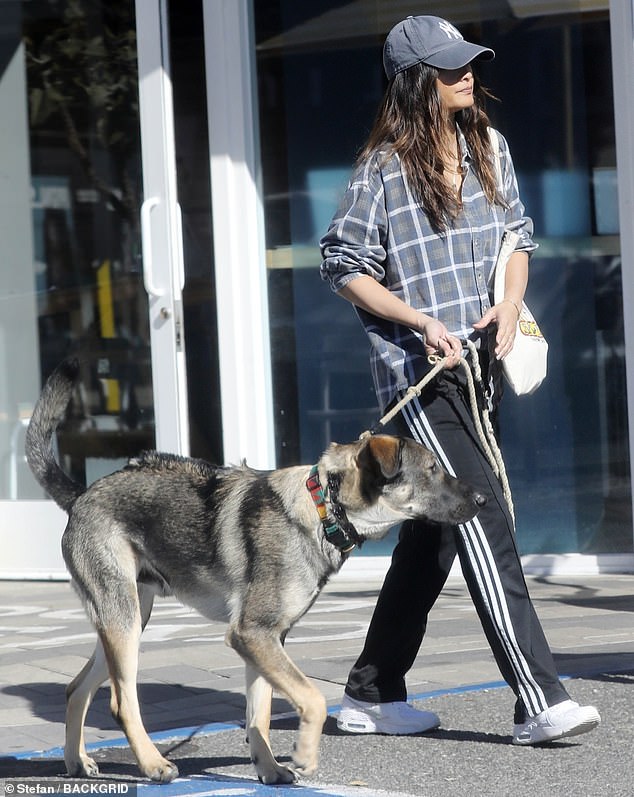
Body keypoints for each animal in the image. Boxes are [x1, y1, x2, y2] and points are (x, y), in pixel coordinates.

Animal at [22, 360, 482, 784]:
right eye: (431, 470)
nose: (481, 498)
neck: (322, 506)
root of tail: (83, 494)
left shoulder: (266, 640)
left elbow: (258, 714)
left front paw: (270, 768)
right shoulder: (253, 634)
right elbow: (313, 698)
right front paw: (304, 754)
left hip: (127, 621)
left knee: (76, 688)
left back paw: (76, 761)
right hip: (125, 620)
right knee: (120, 702)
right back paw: (153, 764)